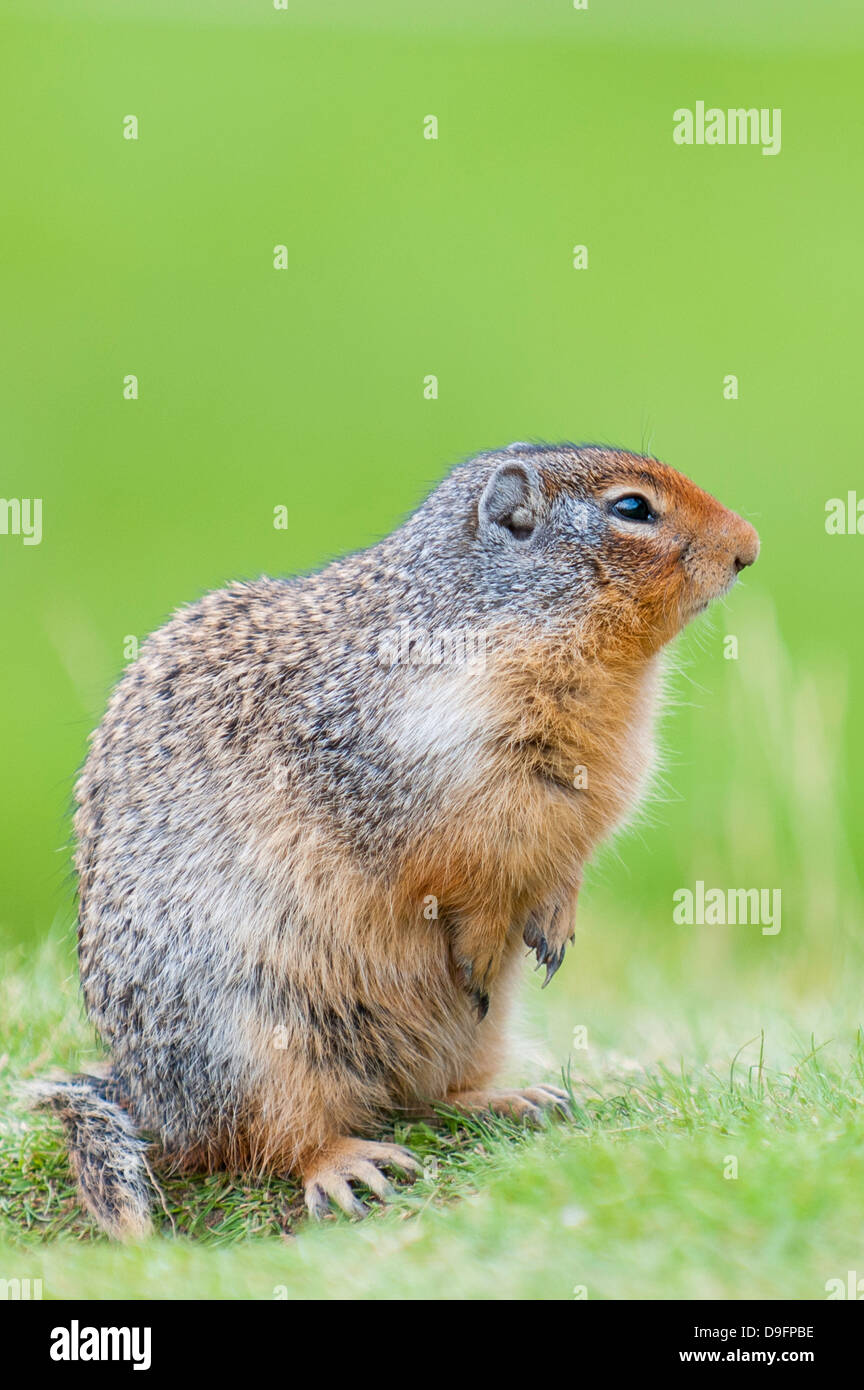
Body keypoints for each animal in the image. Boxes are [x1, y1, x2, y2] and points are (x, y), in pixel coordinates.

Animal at [28, 439, 755, 1234]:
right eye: (632, 508)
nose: (748, 547)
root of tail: (143, 1095)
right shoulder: (415, 770)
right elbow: (460, 870)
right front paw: (483, 943)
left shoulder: (588, 792)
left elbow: (563, 858)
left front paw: (557, 925)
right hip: (246, 1038)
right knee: (268, 1137)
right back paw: (348, 1165)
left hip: (464, 1037)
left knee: (423, 1098)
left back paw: (515, 1098)